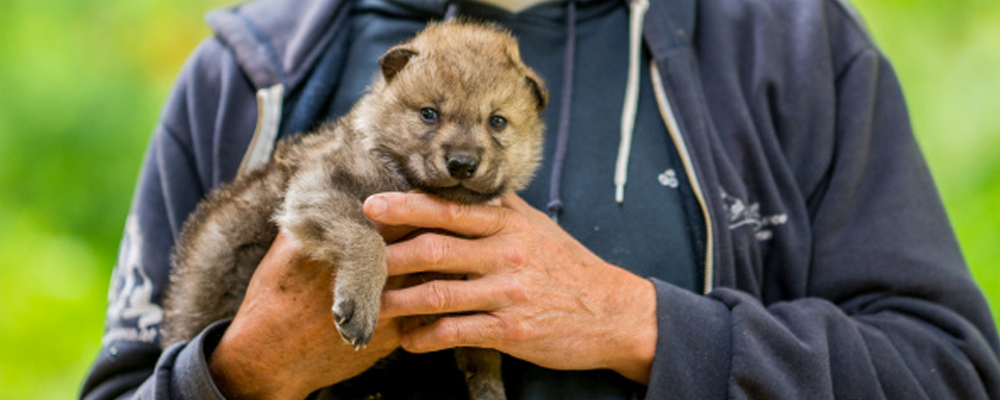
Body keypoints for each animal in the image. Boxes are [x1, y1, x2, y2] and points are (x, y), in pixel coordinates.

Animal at [160, 21, 548, 400]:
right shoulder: (320, 186)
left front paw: (489, 385)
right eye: (429, 114)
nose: (462, 164)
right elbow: (366, 237)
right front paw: (360, 301)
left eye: (497, 121)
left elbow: (481, 341)